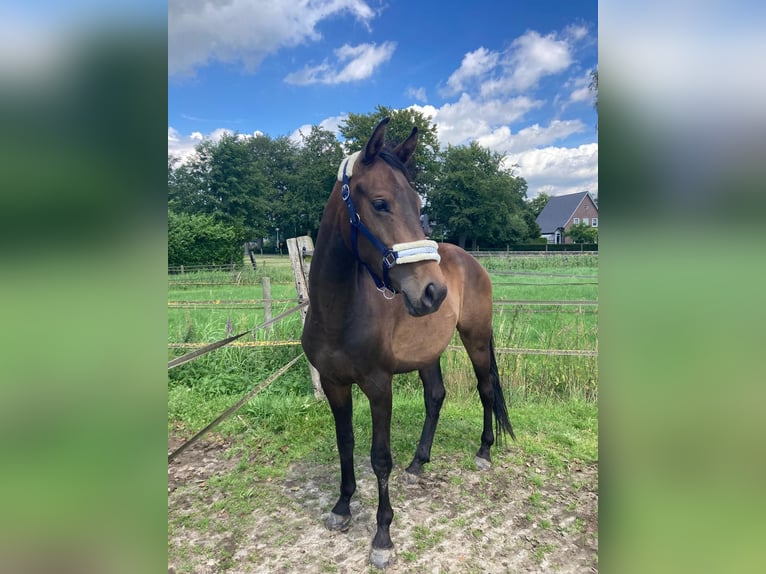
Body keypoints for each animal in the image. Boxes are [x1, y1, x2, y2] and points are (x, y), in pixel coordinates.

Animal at [300, 118, 516, 572]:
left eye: (418, 206)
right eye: (381, 203)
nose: (433, 291)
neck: (340, 311)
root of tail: (471, 261)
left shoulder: (379, 386)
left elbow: (379, 457)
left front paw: (382, 537)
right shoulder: (334, 384)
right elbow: (345, 443)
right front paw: (342, 507)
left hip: (475, 340)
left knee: (486, 389)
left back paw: (484, 452)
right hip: (428, 353)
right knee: (436, 396)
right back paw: (418, 463)